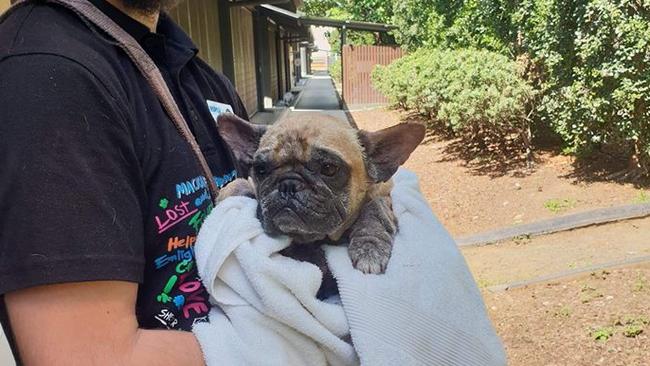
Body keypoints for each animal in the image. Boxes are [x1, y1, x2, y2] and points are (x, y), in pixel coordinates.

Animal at [215, 111, 422, 294]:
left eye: (329, 168)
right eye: (260, 169)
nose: (288, 184)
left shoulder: (382, 195)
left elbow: (375, 210)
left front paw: (369, 247)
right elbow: (237, 185)